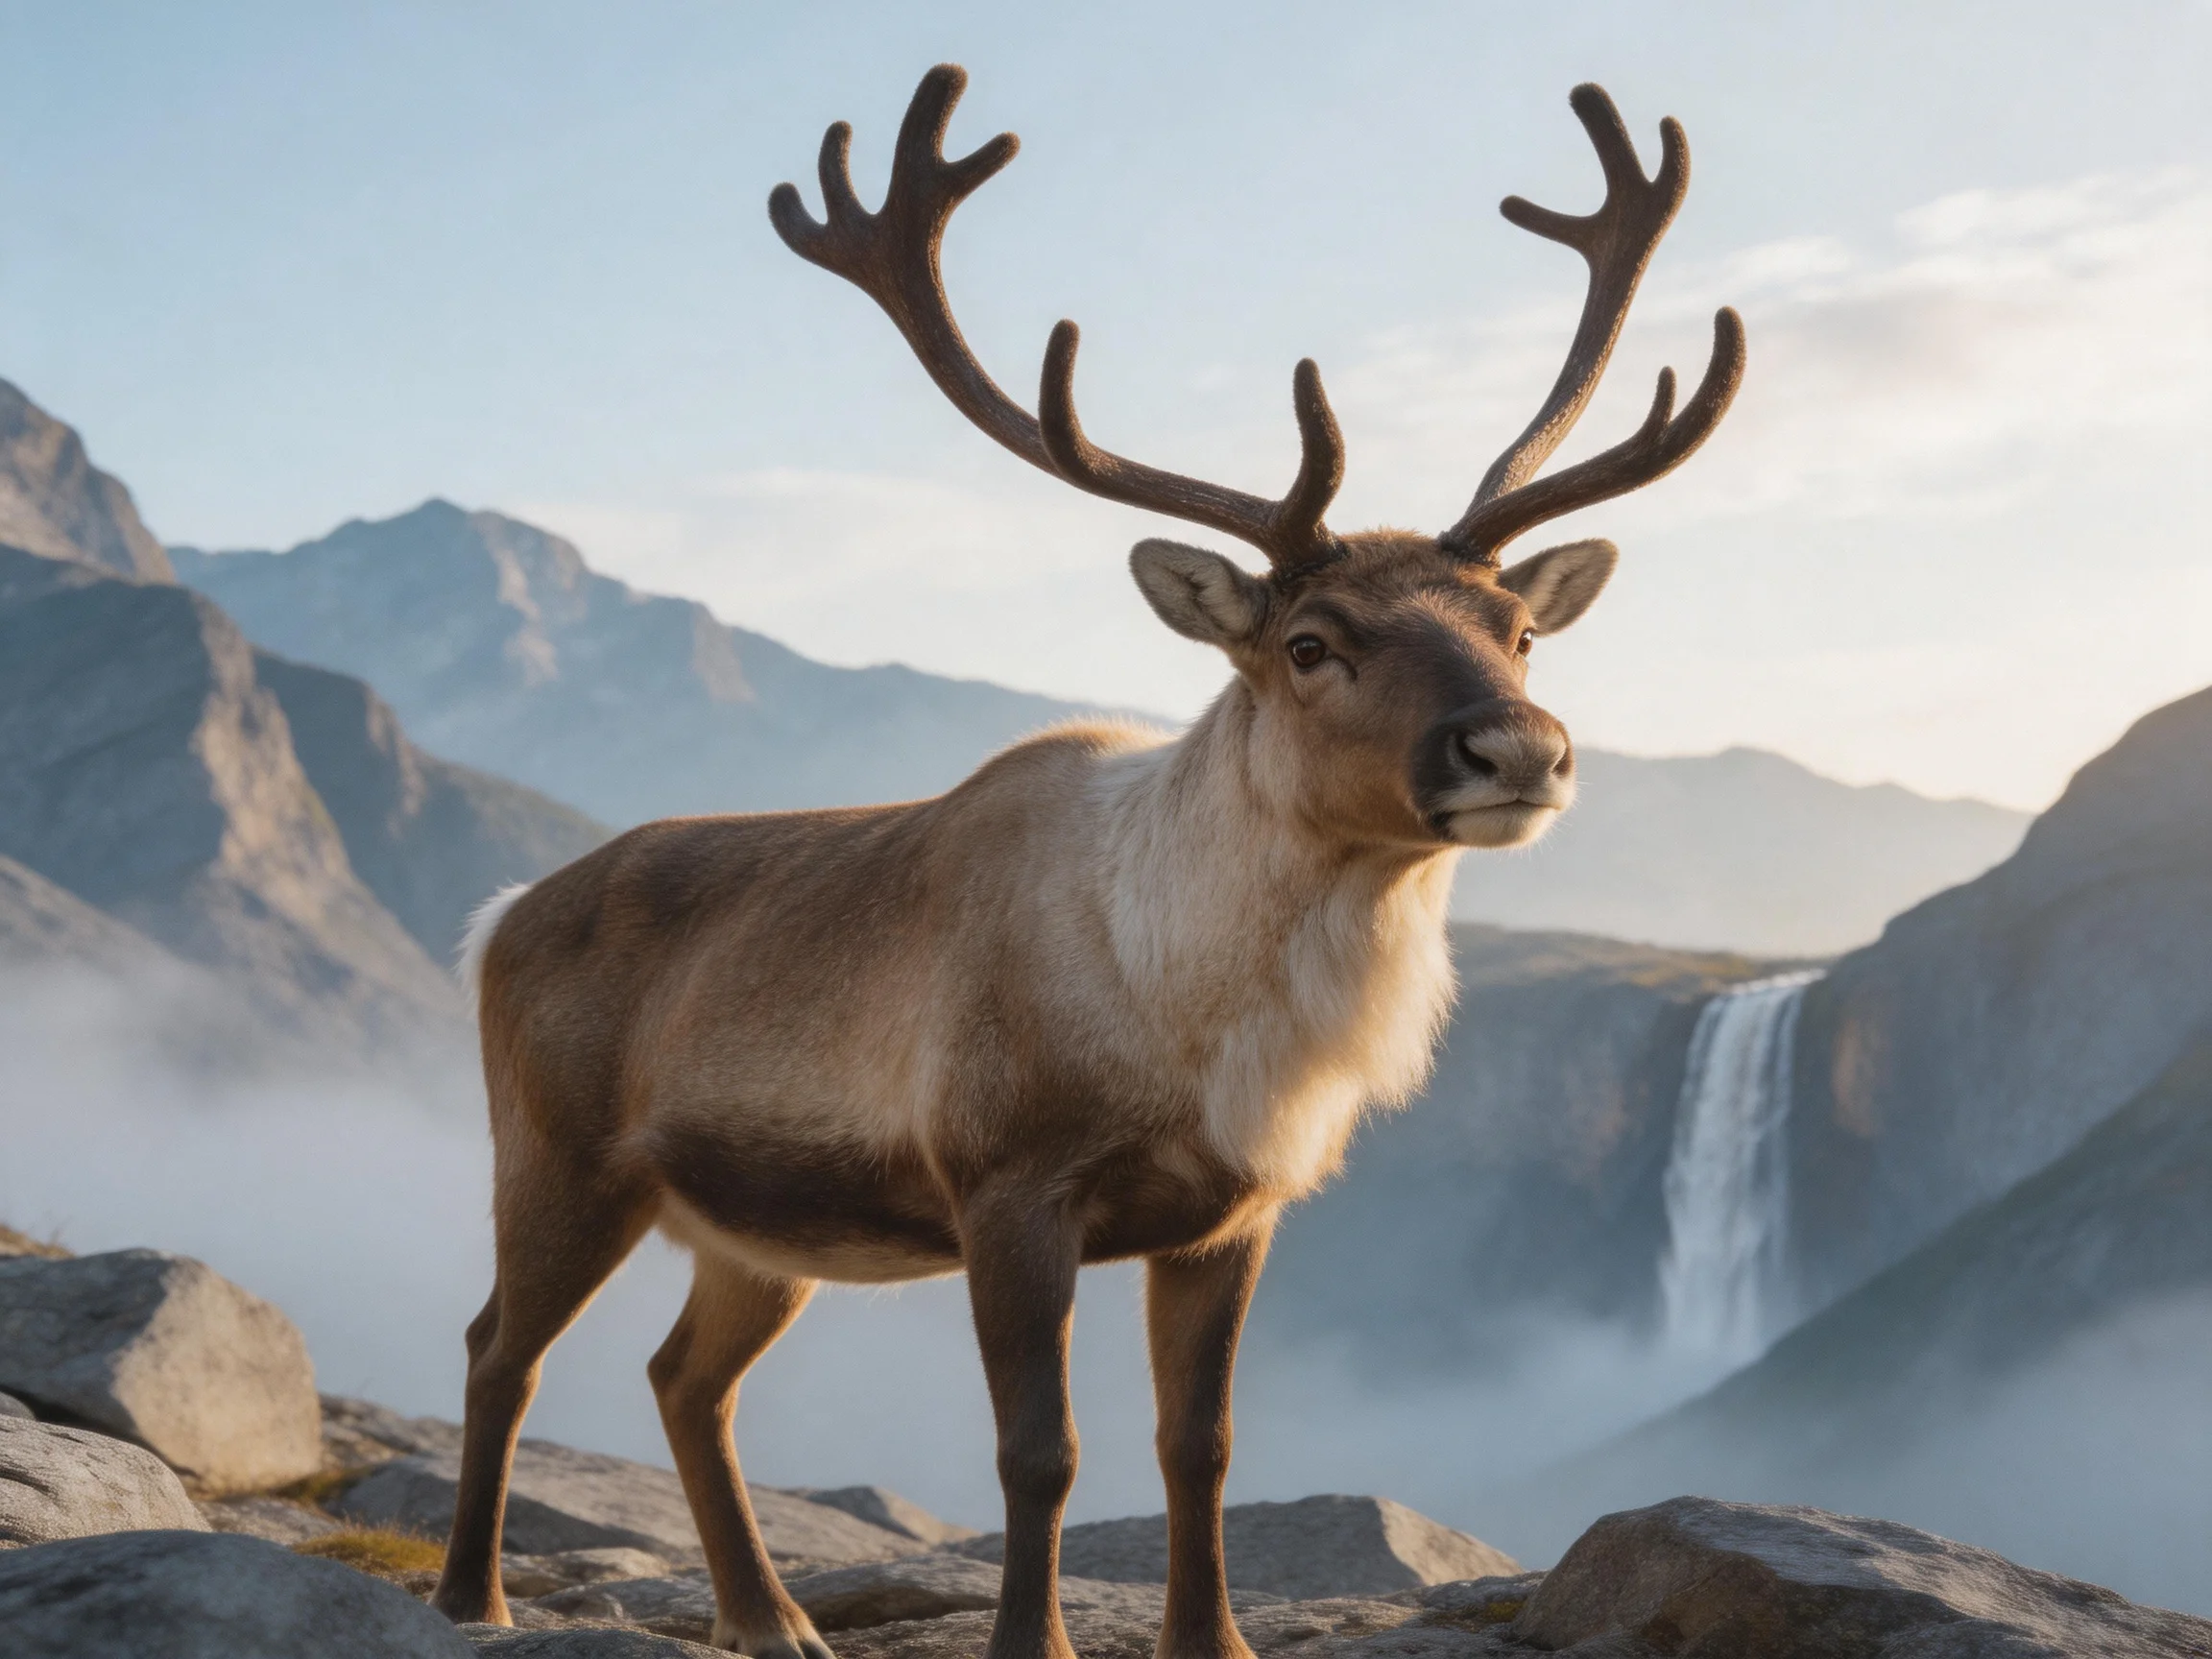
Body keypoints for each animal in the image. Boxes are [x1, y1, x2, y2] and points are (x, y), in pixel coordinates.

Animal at [429, 64, 1742, 1659]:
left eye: (1523, 629)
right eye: (1312, 643)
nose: (1520, 746)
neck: (1189, 1016)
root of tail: (497, 918)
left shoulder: (1233, 1217)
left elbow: (1201, 1445)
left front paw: (1213, 1640)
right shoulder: (1008, 1184)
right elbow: (1037, 1452)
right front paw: (1031, 1640)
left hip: (755, 1229)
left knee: (686, 1376)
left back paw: (772, 1618)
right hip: (560, 1155)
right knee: (498, 1345)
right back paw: (474, 1596)